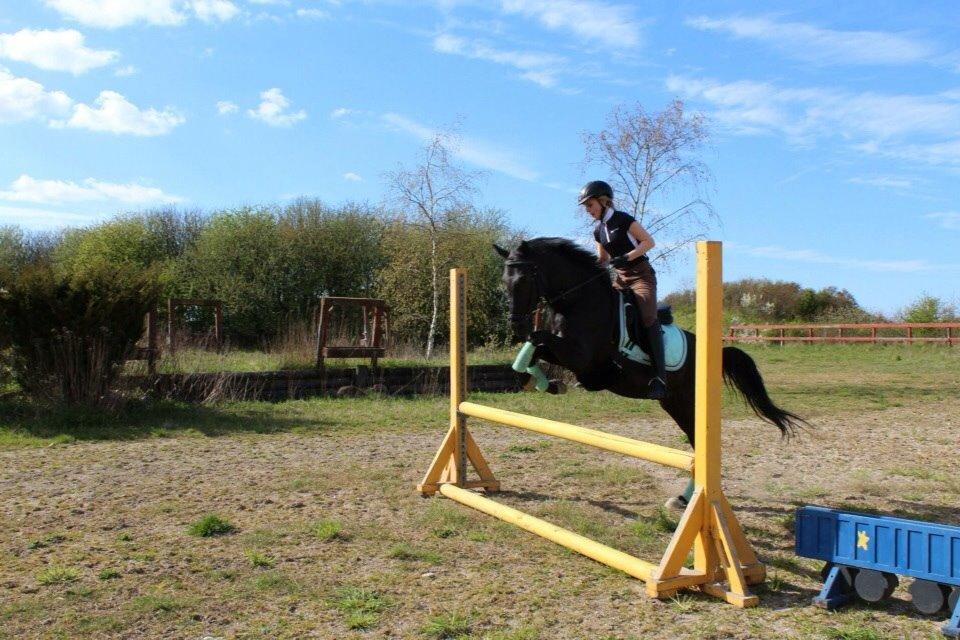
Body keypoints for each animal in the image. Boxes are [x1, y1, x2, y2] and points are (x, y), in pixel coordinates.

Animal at [494, 237, 807, 507]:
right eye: (504, 283)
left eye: (523, 280)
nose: (515, 325)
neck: (579, 301)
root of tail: (715, 353)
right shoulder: (567, 353)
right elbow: (534, 348)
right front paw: (548, 384)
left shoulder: (582, 357)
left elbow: (538, 340)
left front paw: (547, 380)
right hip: (673, 403)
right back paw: (683, 498)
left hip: (687, 402)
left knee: (696, 443)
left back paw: (685, 498)